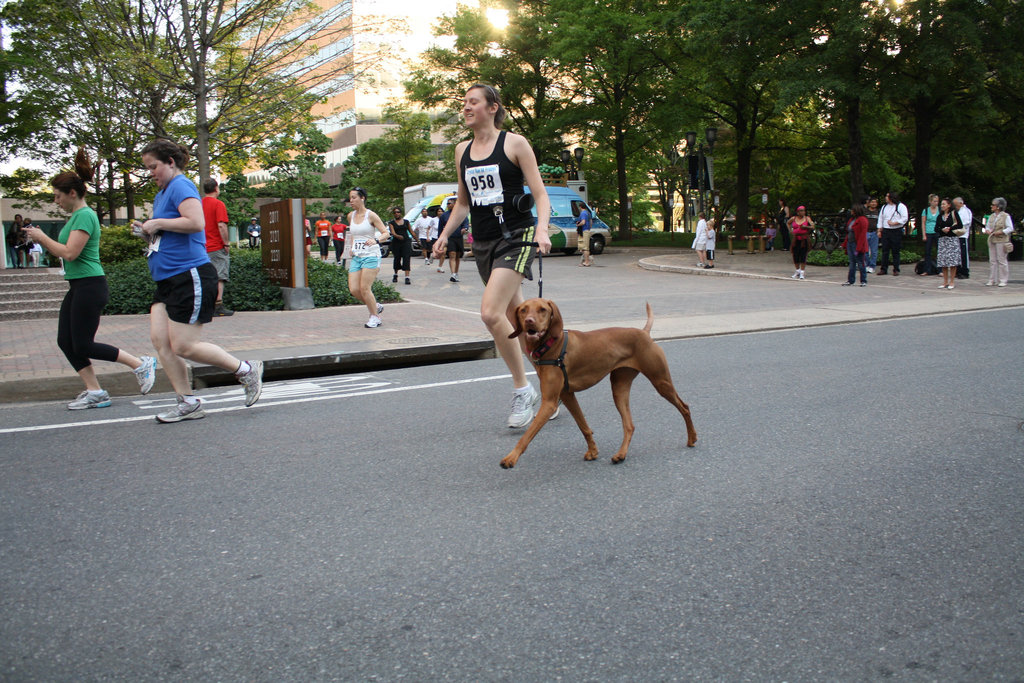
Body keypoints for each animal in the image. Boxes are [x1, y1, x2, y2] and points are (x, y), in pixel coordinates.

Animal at [503, 296, 696, 466]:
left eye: (542, 309)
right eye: (523, 310)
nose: (529, 321)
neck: (551, 345)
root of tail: (644, 332)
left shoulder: (549, 402)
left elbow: (526, 436)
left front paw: (511, 458)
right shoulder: (567, 395)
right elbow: (583, 425)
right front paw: (593, 451)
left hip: (661, 381)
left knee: (685, 407)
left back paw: (692, 438)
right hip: (619, 388)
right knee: (629, 425)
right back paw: (621, 454)